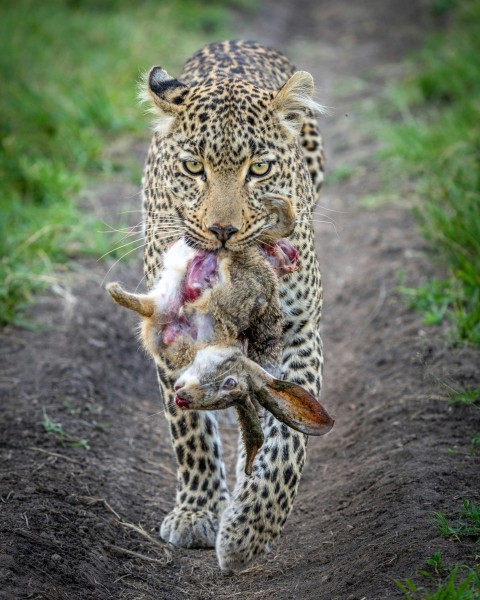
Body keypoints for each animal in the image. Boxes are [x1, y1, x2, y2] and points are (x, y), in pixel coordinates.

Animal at [139, 38, 326, 572]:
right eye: (193, 167)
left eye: (258, 169)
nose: (223, 231)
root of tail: (237, 41)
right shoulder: (171, 333)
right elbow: (188, 427)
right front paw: (199, 512)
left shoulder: (297, 330)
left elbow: (289, 438)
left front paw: (249, 530)